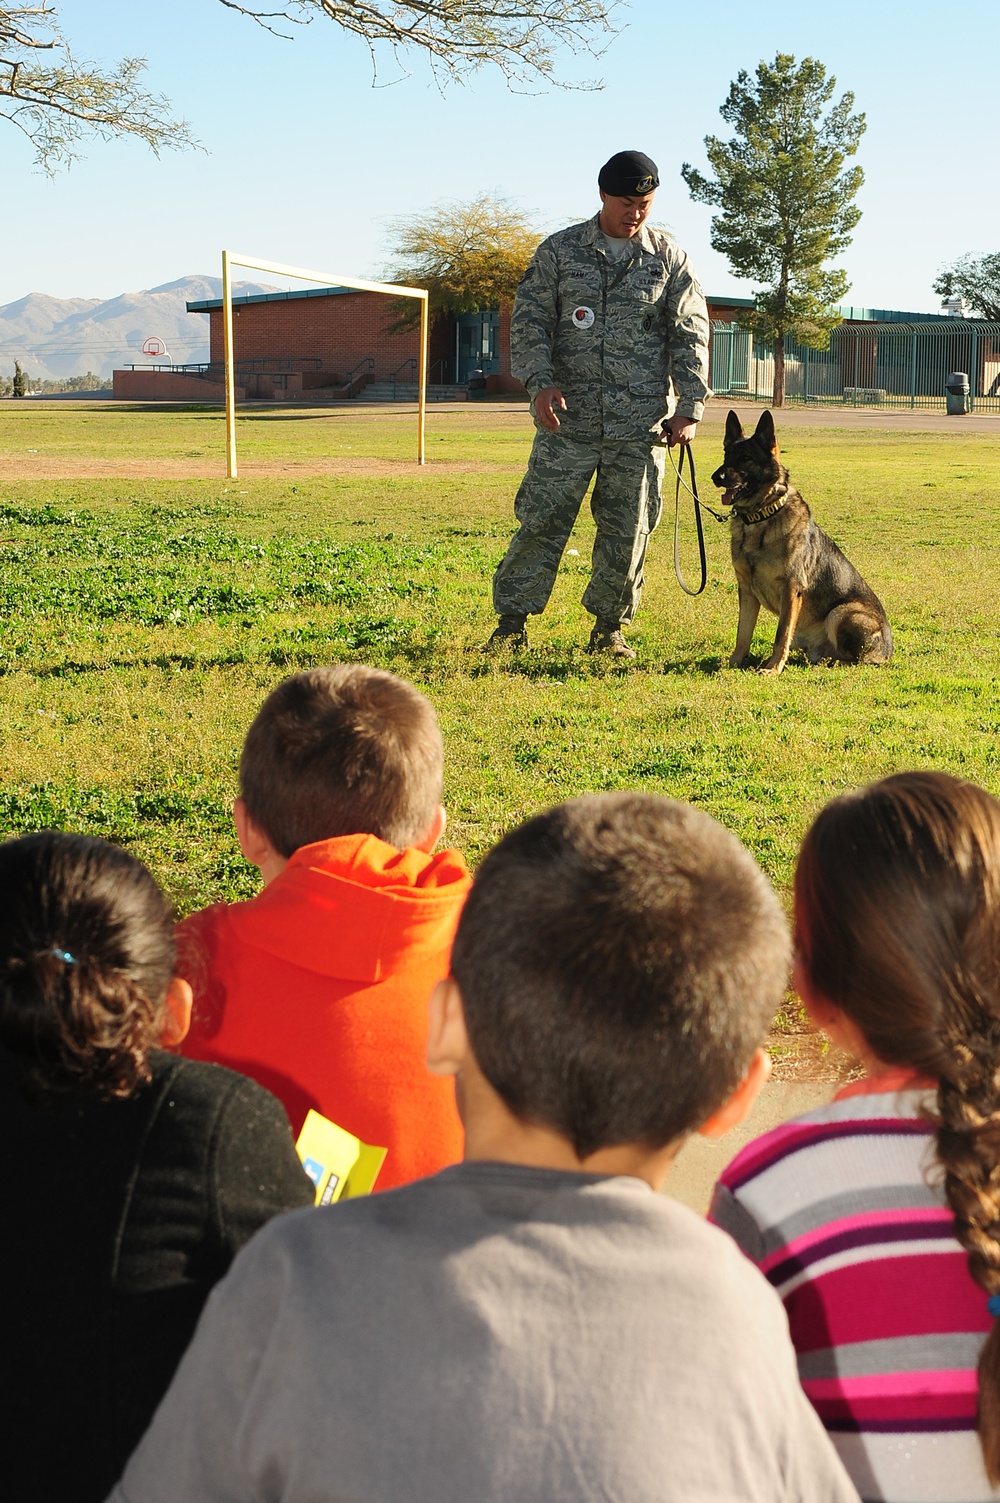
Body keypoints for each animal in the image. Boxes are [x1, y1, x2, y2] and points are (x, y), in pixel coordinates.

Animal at [709, 408, 890, 673]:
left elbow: (781, 634)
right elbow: (743, 633)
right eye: (726, 455)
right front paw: (733, 662)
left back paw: (831, 661)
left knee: (857, 660)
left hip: (842, 611)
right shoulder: (747, 591)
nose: (716, 477)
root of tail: (888, 650)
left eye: (745, 457)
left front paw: (773, 668)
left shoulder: (791, 589)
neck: (760, 517)